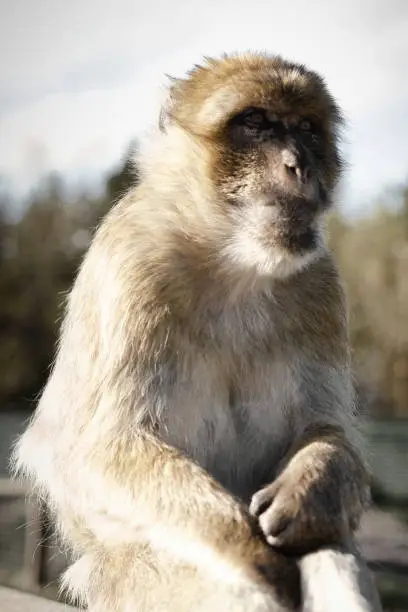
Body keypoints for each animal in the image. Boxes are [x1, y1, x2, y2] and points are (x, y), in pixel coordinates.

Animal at [12, 53, 382, 612]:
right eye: (256, 123)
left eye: (306, 129)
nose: (300, 163)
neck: (235, 264)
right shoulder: (135, 265)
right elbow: (98, 452)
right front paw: (252, 552)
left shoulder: (320, 284)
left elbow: (326, 428)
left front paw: (309, 489)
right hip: (127, 583)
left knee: (331, 544)